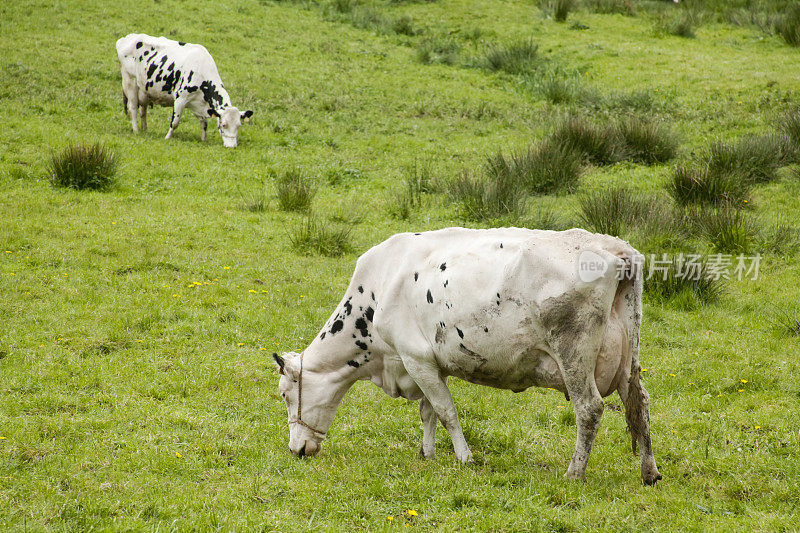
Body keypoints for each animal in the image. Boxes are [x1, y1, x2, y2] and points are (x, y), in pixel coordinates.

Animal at [115, 33, 252, 148]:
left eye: (239, 125)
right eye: (224, 125)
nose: (231, 146)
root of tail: (127, 38)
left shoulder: (200, 104)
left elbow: (204, 124)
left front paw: (204, 139)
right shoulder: (181, 98)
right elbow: (175, 122)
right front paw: (167, 137)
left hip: (145, 90)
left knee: (143, 110)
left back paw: (145, 129)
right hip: (129, 81)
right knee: (133, 107)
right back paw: (136, 130)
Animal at [276, 227, 664, 484]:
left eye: (284, 394)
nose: (296, 449)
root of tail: (615, 247)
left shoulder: (414, 358)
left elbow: (446, 412)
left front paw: (464, 457)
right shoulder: (429, 364)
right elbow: (428, 411)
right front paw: (427, 453)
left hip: (574, 354)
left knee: (590, 409)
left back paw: (574, 472)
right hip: (628, 357)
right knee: (639, 402)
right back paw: (649, 472)